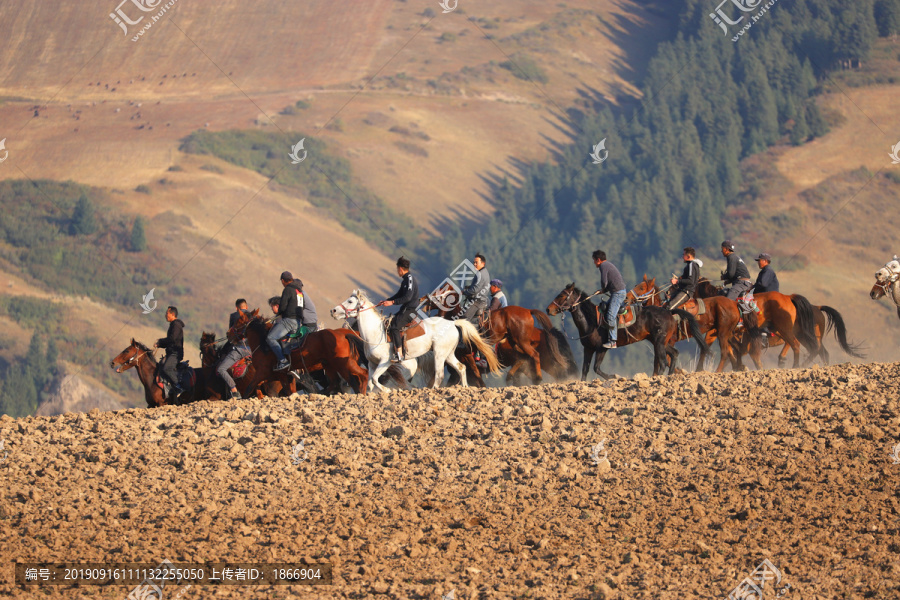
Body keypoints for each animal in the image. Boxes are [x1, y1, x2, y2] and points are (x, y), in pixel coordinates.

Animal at [232, 312, 372, 396]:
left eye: (236, 322)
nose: (229, 335)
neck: (263, 343)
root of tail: (345, 334)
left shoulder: (262, 373)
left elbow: (249, 389)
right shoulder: (283, 375)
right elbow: (290, 391)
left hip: (343, 365)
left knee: (360, 377)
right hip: (330, 366)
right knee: (336, 384)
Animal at [330, 288, 500, 392]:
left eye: (350, 302)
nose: (333, 311)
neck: (375, 333)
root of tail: (453, 323)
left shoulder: (385, 362)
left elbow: (375, 379)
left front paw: (387, 390)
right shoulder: (372, 363)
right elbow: (371, 382)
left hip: (439, 354)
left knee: (439, 374)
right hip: (449, 354)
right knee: (461, 368)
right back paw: (464, 387)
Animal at [544, 282, 708, 378]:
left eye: (562, 295)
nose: (548, 309)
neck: (591, 321)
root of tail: (669, 312)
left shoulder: (602, 348)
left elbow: (596, 368)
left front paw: (615, 376)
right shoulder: (588, 349)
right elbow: (585, 370)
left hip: (659, 342)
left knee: (662, 361)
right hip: (660, 341)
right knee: (673, 355)